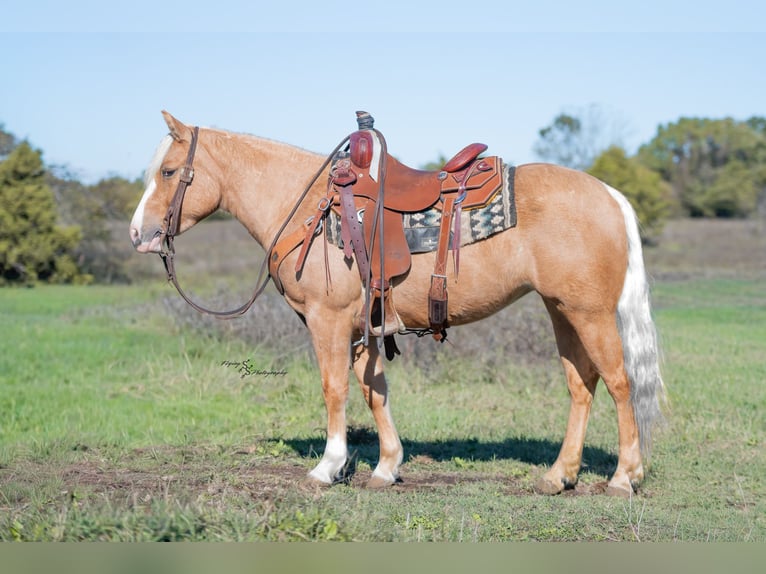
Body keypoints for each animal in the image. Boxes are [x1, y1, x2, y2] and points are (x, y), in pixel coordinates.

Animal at [129, 111, 665, 497]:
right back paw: (560, 475)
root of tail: (609, 194)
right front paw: (386, 467)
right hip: (562, 310)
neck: (307, 208)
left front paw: (328, 467)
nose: (139, 234)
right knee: (582, 384)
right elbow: (374, 392)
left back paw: (624, 477)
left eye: (170, 172)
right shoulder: (364, 325)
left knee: (619, 383)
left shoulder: (328, 321)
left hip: (590, 314)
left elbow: (335, 390)